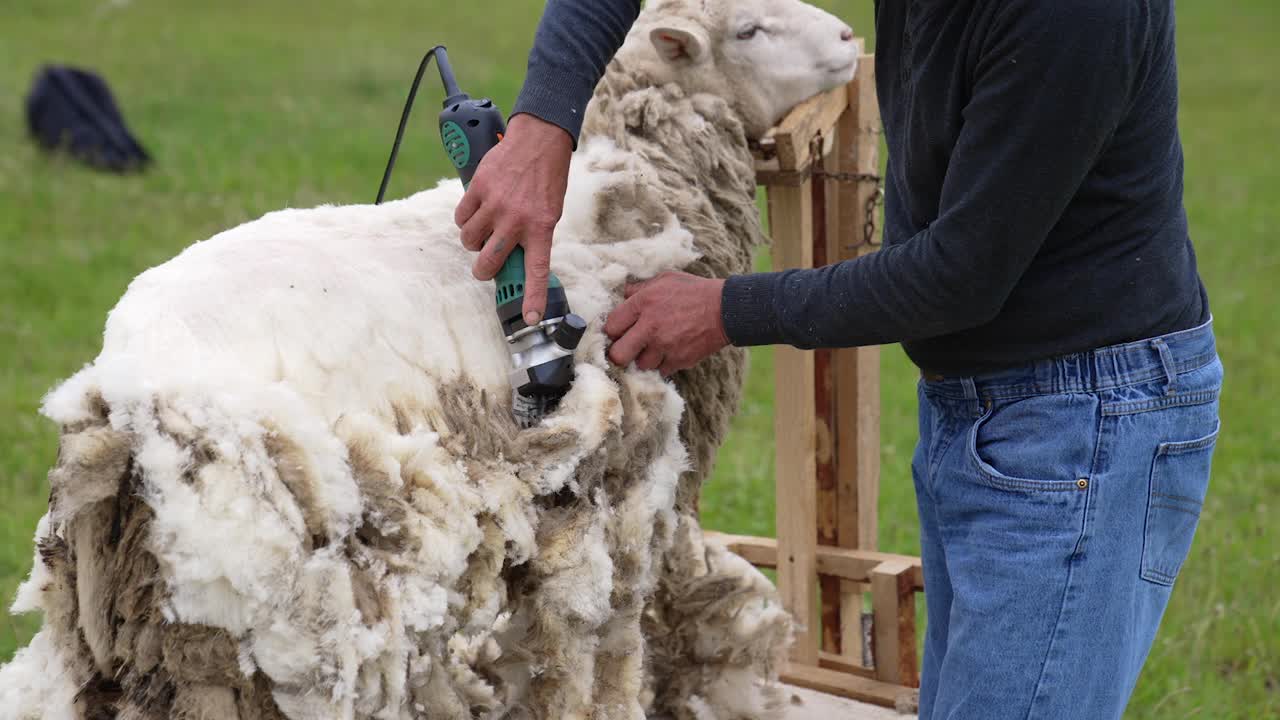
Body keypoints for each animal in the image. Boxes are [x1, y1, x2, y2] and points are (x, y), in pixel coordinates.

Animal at [2, 2, 860, 712]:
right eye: (748, 29)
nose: (853, 38)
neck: (635, 185)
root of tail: (119, 390)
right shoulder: (628, 491)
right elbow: (614, 640)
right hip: (250, 613)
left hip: (116, 611)